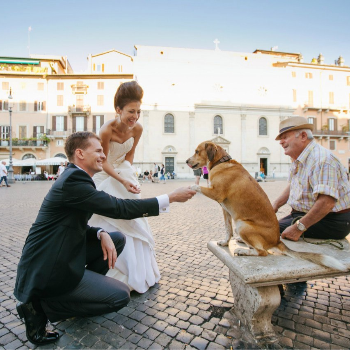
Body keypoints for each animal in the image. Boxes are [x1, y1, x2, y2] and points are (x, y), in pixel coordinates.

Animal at [186, 141, 348, 272]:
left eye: (196, 151)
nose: (186, 160)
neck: (221, 162)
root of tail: (277, 240)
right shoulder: (225, 210)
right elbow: (228, 230)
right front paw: (226, 242)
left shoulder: (216, 193)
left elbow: (197, 186)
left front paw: (191, 186)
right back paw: (242, 242)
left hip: (242, 225)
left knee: (262, 252)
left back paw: (244, 251)